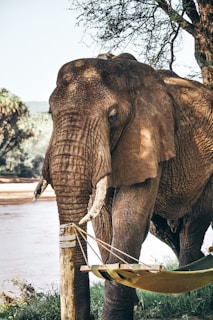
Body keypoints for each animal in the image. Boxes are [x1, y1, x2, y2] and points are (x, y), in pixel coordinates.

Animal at [34, 53, 212, 318]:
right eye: (50, 113)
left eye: (112, 116)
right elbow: (103, 223)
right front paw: (135, 305)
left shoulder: (147, 137)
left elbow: (127, 213)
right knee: (163, 229)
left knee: (193, 225)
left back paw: (187, 295)